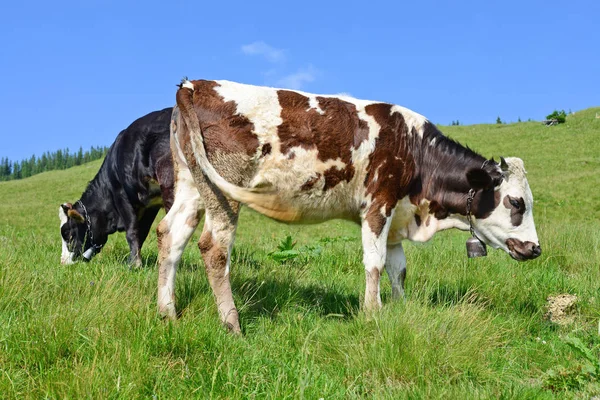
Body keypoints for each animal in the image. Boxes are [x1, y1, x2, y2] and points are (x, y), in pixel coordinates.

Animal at [59, 108, 173, 268]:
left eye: (68, 234)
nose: (63, 263)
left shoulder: (121, 194)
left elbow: (132, 230)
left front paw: (134, 264)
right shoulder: (151, 205)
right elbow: (142, 232)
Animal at [155, 79, 540, 332]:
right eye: (516, 201)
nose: (535, 248)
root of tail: (195, 84)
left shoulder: (396, 217)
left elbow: (398, 269)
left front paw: (401, 308)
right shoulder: (379, 204)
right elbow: (375, 263)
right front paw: (373, 314)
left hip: (191, 186)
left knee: (169, 235)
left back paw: (167, 313)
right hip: (224, 192)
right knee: (214, 248)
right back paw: (232, 323)